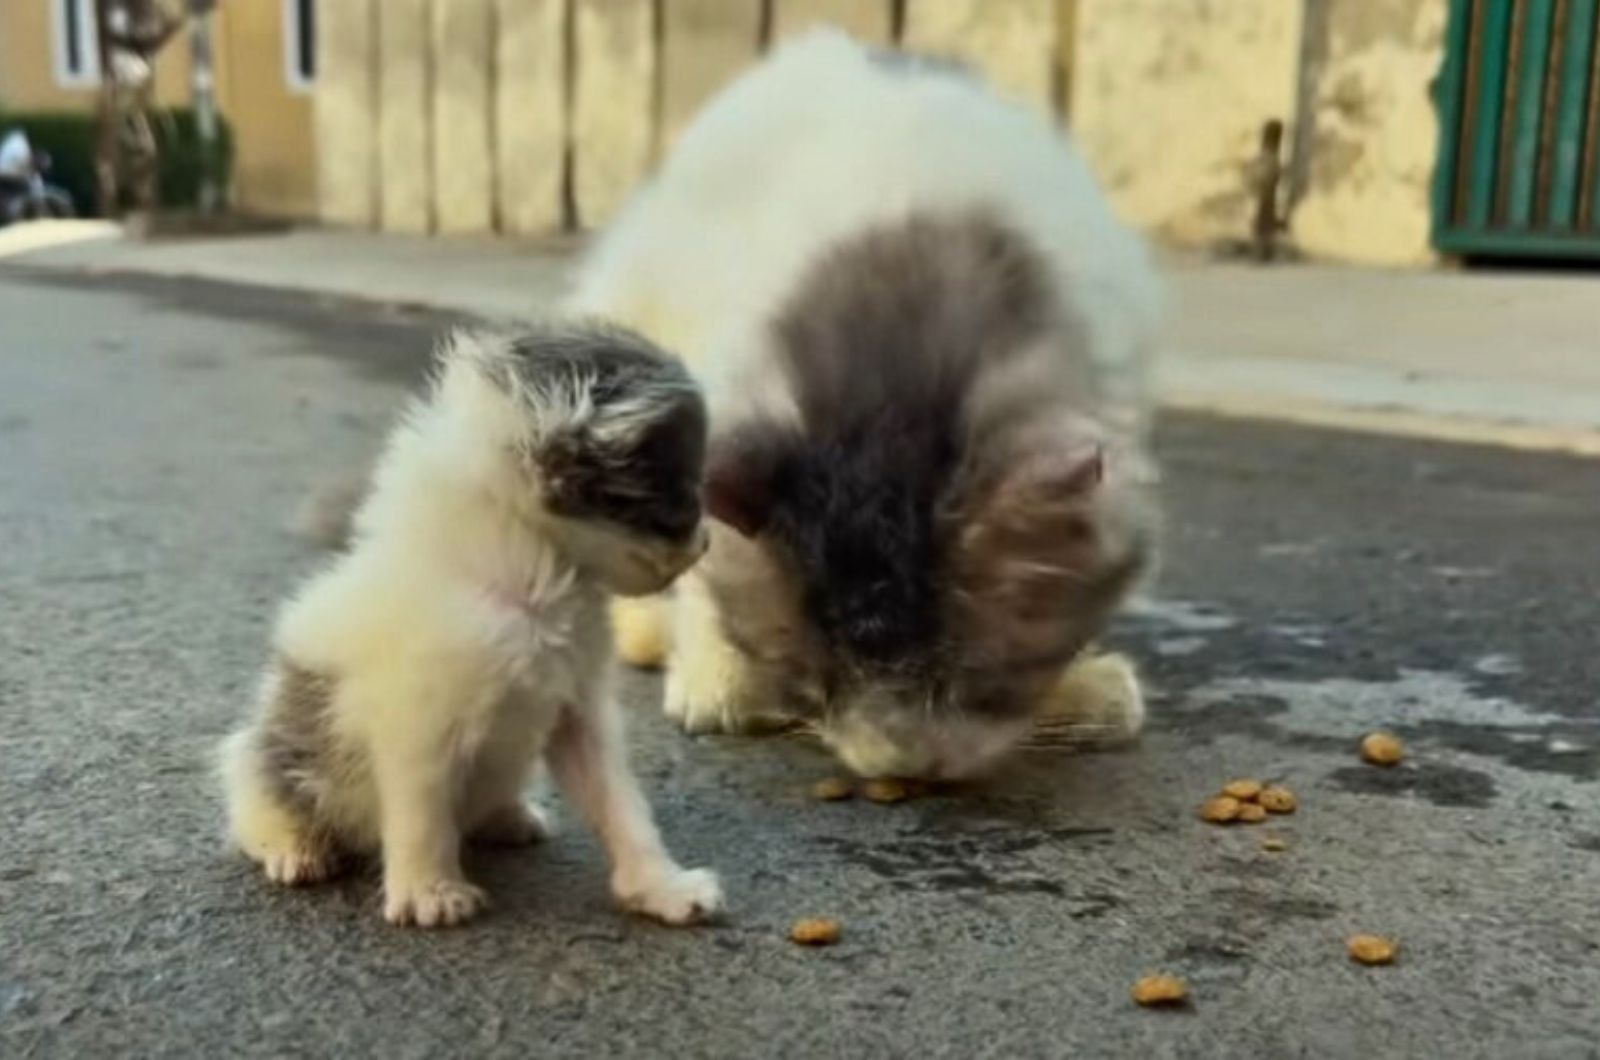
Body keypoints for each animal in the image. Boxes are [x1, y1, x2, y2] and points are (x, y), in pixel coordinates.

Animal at [222, 323, 723, 928]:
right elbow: (421, 812)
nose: (706, 543)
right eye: (679, 493)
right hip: (266, 758)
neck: (530, 583)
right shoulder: (413, 724)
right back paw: (296, 848)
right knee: (258, 803)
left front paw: (661, 887)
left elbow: (621, 803)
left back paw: (507, 815)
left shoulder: (576, 706)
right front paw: (430, 892)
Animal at [566, 31, 1164, 781]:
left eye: (968, 682)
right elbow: (707, 571)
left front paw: (1081, 688)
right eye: (817, 679)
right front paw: (720, 682)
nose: (896, 765)